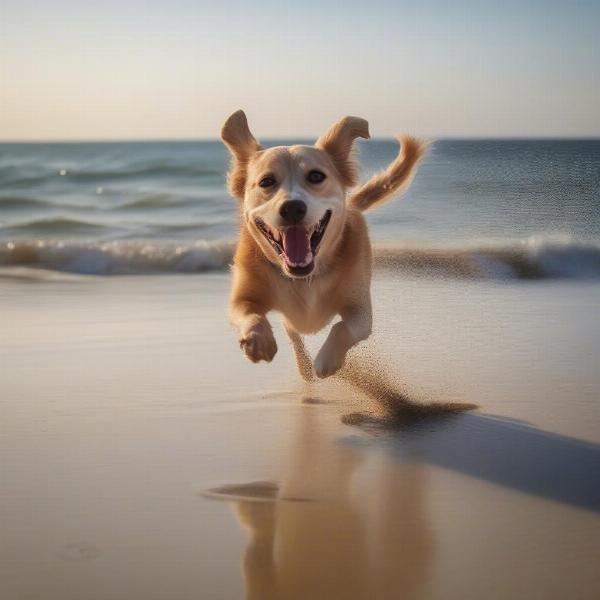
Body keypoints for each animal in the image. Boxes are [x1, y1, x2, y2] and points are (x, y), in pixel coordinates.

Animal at [221, 109, 426, 378]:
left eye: (316, 176)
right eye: (266, 182)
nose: (293, 208)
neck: (304, 278)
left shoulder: (361, 310)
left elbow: (344, 328)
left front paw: (326, 361)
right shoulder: (243, 296)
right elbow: (248, 313)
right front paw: (258, 341)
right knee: (292, 331)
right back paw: (303, 366)